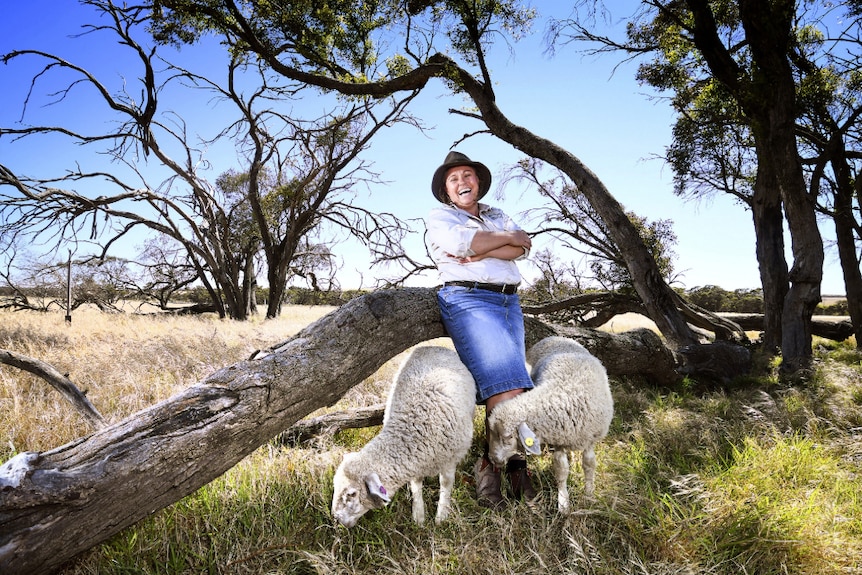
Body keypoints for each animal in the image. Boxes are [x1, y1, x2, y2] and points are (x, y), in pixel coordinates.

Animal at [332, 344, 480, 528]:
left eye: (352, 494)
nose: (336, 519)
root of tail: (431, 346)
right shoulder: (415, 462)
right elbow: (416, 485)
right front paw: (419, 515)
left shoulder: (449, 459)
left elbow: (446, 484)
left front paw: (441, 516)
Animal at [486, 338, 616, 512]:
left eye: (507, 437)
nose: (492, 459)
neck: (564, 394)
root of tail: (553, 337)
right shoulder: (559, 441)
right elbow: (561, 470)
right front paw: (563, 502)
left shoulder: (590, 440)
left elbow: (589, 465)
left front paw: (589, 494)